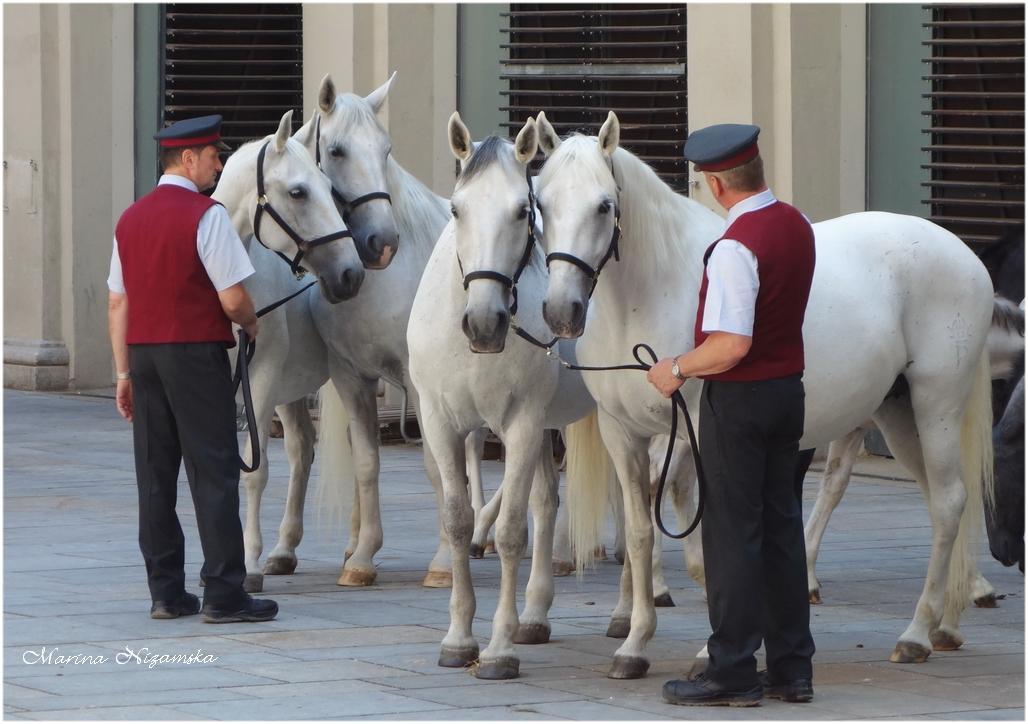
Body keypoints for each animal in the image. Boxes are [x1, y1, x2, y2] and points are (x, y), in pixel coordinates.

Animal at [405, 113, 600, 678]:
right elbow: (457, 521)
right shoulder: (441, 423)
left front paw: (498, 649)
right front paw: (458, 638)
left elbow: (513, 530)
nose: (484, 322)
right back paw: (534, 616)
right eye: (456, 208)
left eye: (522, 210)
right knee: (547, 502)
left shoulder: (522, 424)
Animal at [534, 110, 990, 674]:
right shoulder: (623, 433)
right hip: (899, 416)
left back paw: (917, 634)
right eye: (540, 203)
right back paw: (945, 624)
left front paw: (713, 650)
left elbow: (717, 537)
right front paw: (635, 644)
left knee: (949, 503)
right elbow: (640, 535)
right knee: (941, 503)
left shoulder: (700, 433)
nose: (562, 312)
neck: (649, 294)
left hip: (936, 405)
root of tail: (962, 254)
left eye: (604, 204)